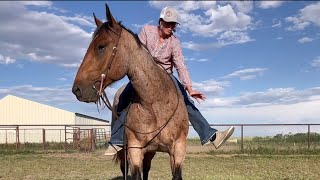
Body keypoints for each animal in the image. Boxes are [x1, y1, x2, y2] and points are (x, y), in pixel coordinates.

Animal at [71, 4, 189, 180]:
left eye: (101, 46)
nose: (77, 89)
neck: (156, 104)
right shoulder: (135, 149)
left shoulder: (178, 149)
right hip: (124, 152)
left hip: (150, 152)